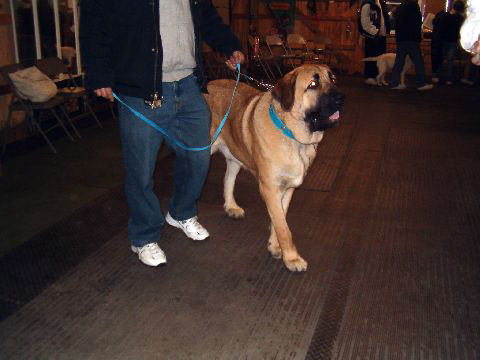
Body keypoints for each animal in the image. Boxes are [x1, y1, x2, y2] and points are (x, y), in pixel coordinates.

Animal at [204, 64, 344, 270]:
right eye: (312, 84)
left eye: (332, 78)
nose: (342, 98)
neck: (291, 134)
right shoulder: (270, 188)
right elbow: (283, 227)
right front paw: (292, 258)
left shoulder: (288, 188)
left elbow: (280, 218)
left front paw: (276, 246)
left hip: (235, 155)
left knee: (228, 178)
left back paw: (231, 206)